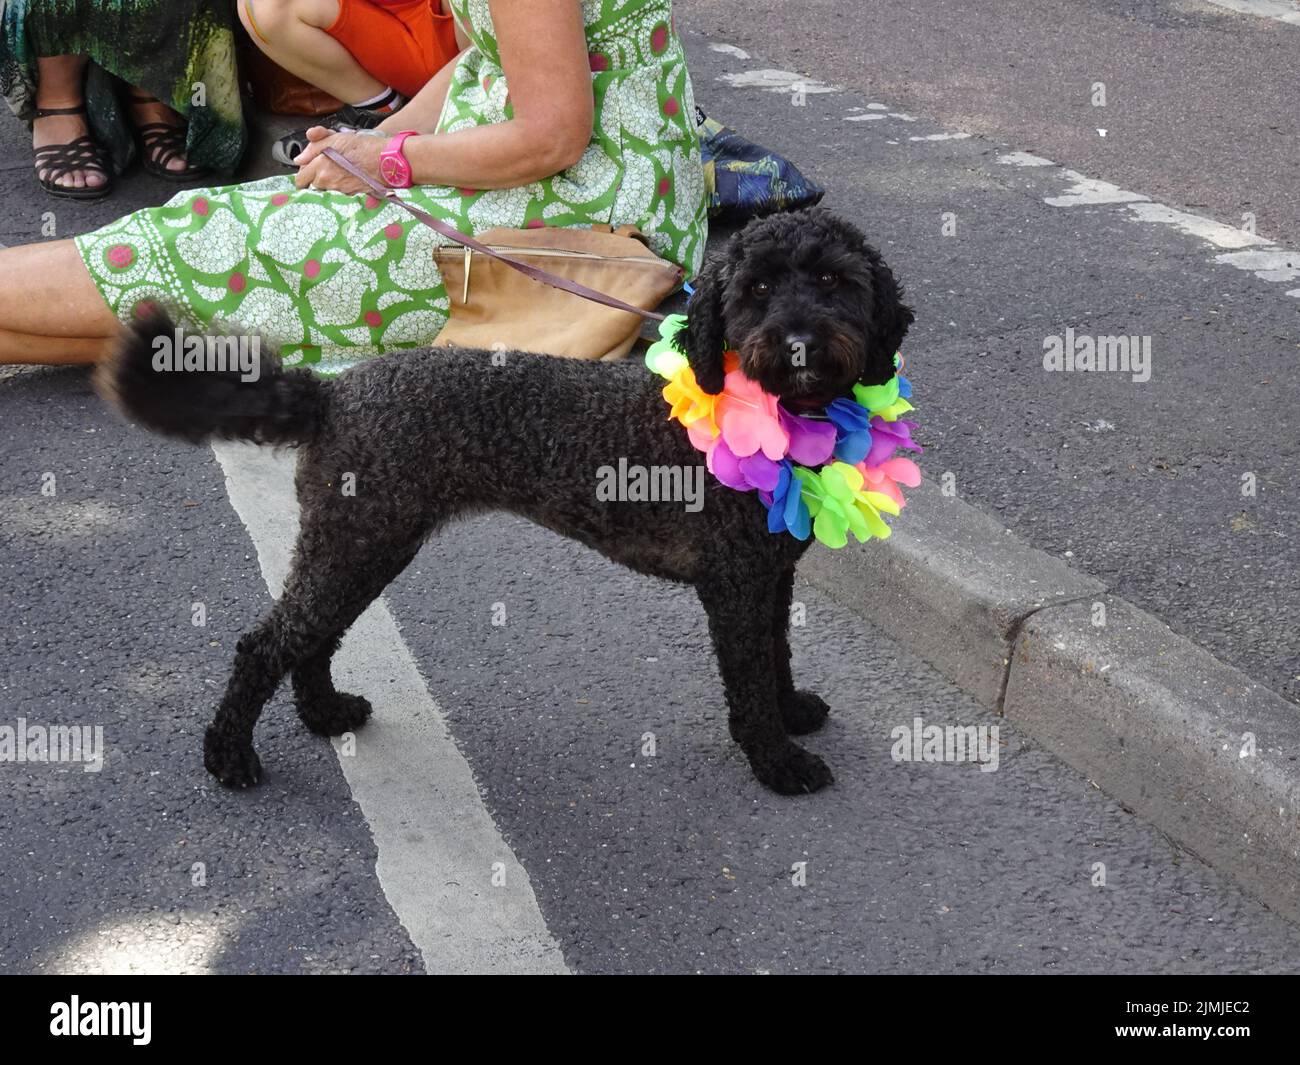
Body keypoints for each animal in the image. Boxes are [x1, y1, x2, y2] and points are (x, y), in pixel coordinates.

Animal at [98, 206, 915, 790]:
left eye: (836, 282)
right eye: (758, 289)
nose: (802, 341)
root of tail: (333, 395)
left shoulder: (770, 577)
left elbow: (776, 654)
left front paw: (791, 712)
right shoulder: (735, 584)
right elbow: (748, 677)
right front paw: (776, 760)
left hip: (365, 544)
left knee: (313, 636)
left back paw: (324, 712)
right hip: (355, 542)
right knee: (265, 642)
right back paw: (229, 756)